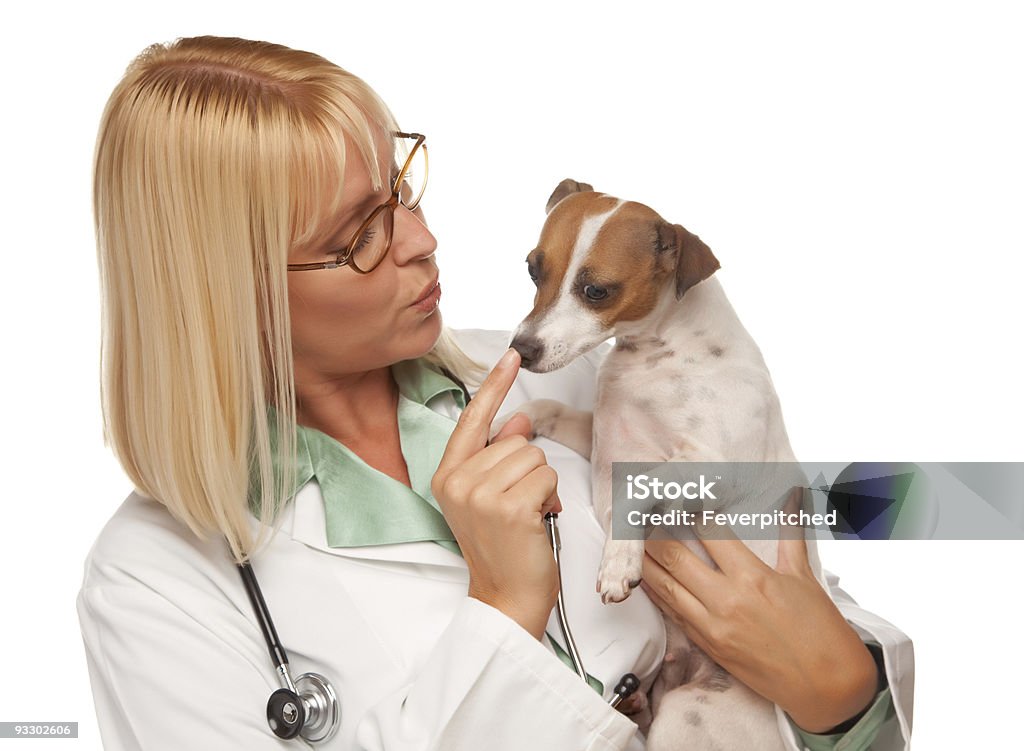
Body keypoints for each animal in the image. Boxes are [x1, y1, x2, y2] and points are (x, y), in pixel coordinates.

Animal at [493, 178, 831, 745]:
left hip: (688, 714)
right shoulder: (606, 439)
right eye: (534, 269)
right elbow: (549, 409)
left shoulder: (712, 466)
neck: (655, 353)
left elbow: (639, 489)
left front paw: (618, 563)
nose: (522, 349)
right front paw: (505, 422)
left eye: (596, 291)